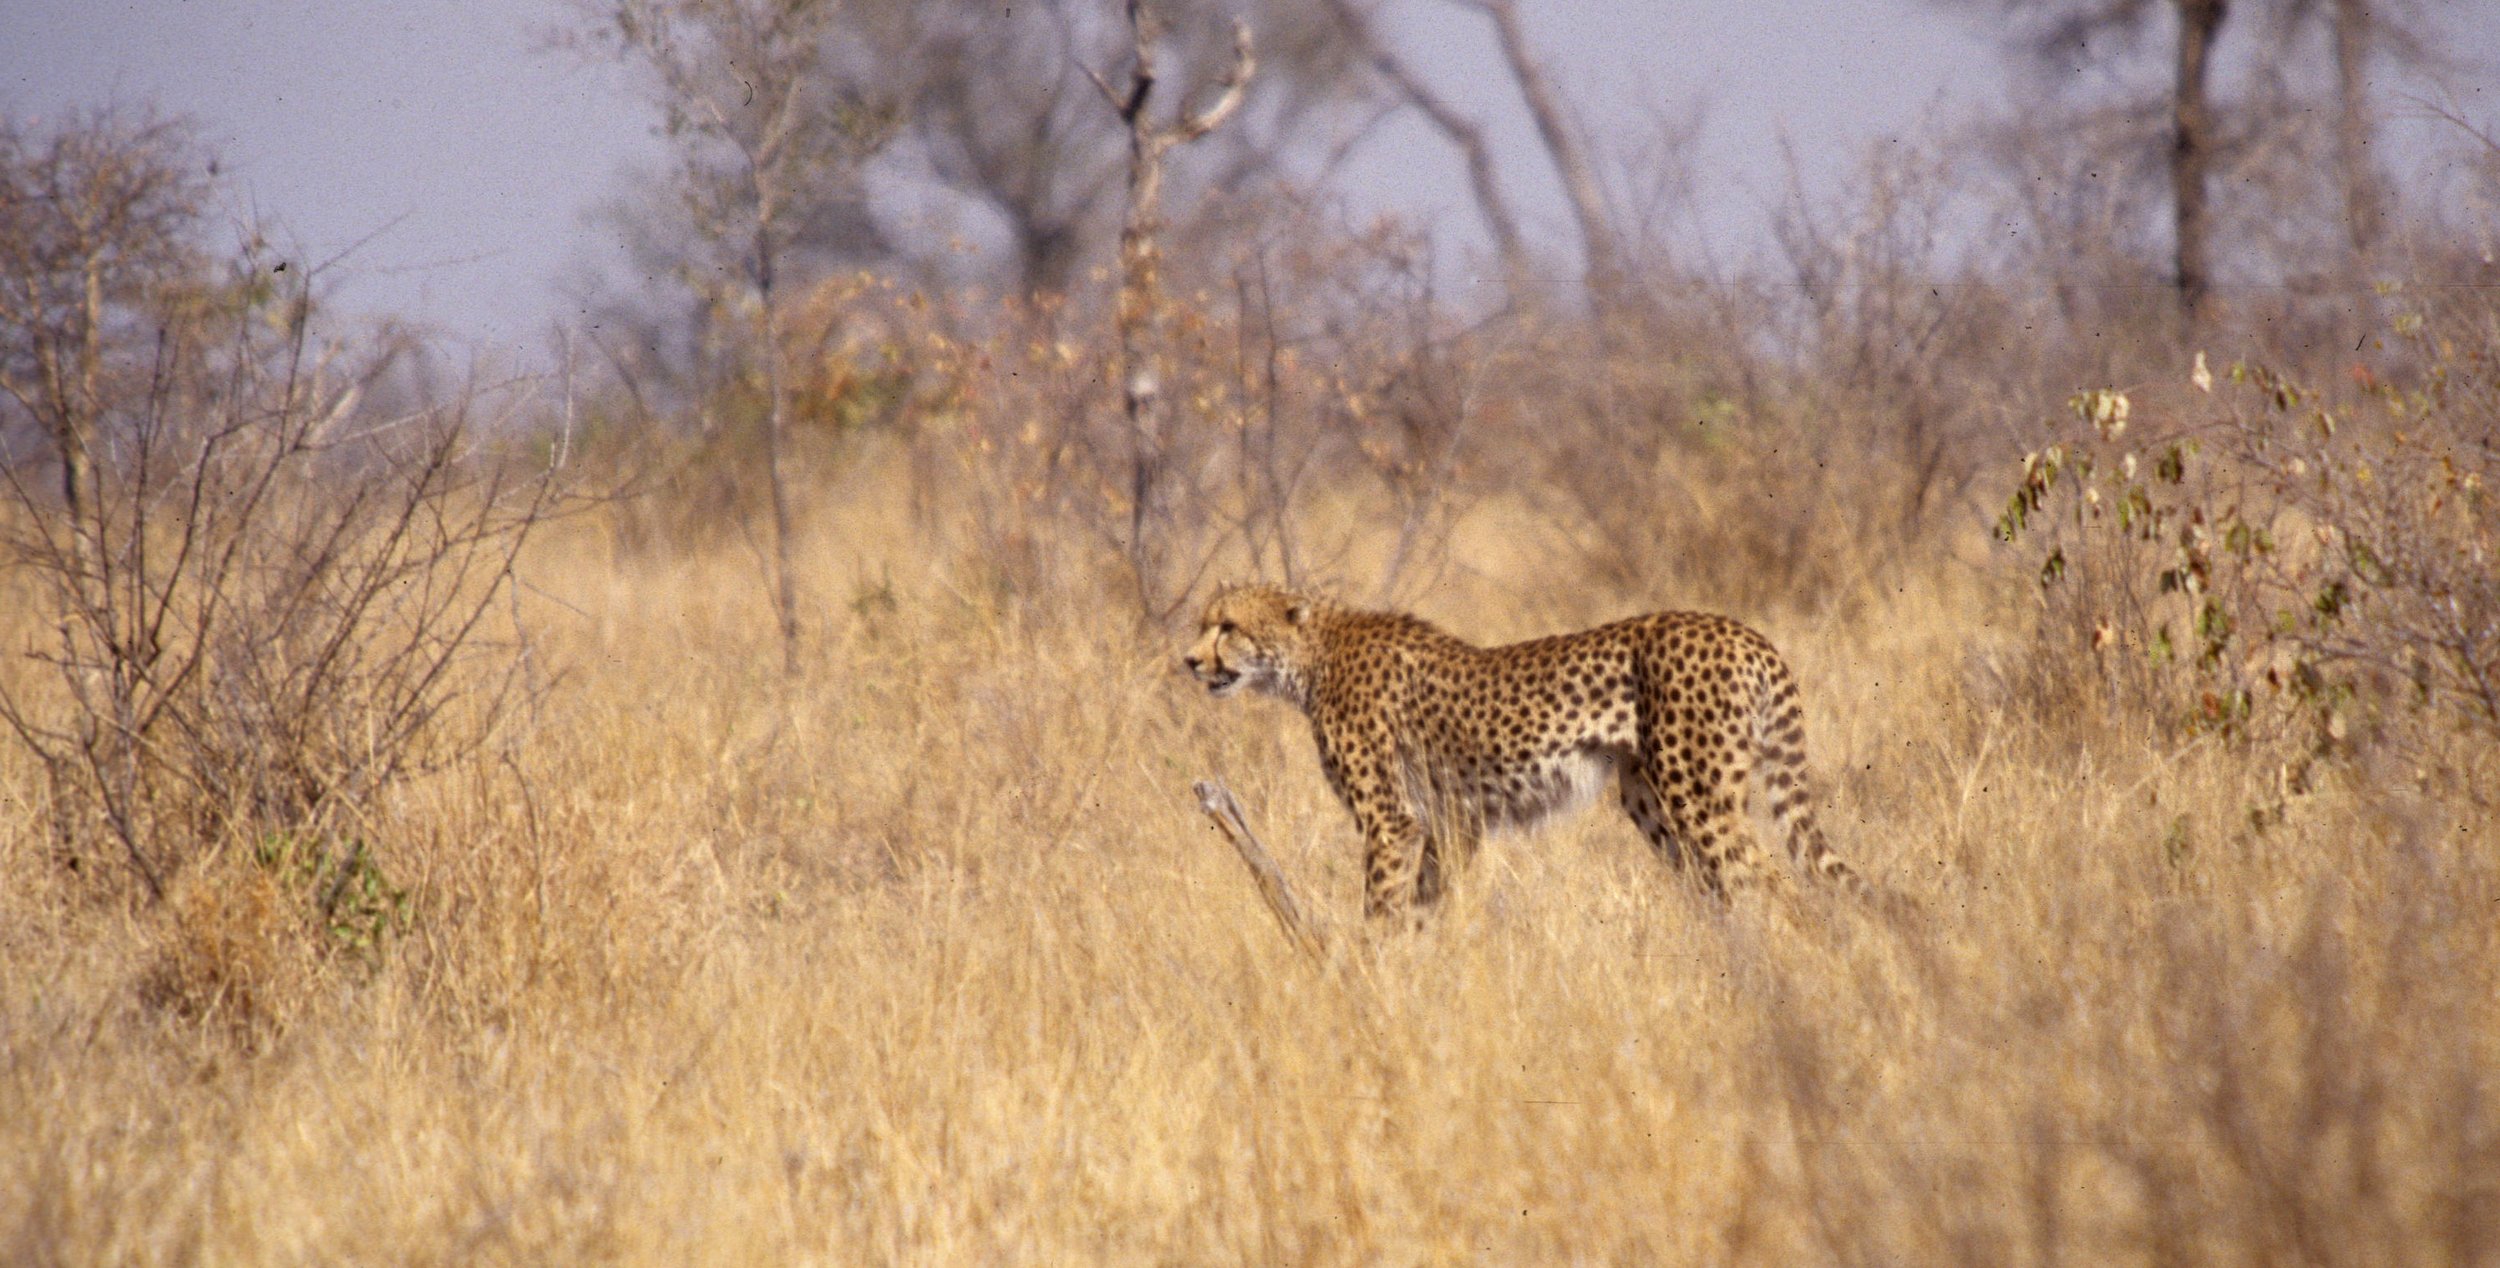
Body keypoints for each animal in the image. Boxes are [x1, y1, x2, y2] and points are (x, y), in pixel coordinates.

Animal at [1182, 583, 1867, 920]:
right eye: (1203, 624)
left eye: (1227, 627)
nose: (1189, 661)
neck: (1312, 657)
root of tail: (1745, 632)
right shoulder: (1449, 824)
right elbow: (1422, 911)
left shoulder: (1393, 822)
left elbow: (1381, 912)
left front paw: (1375, 988)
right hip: (1650, 799)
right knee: (1725, 889)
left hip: (1696, 797)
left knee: (1776, 886)